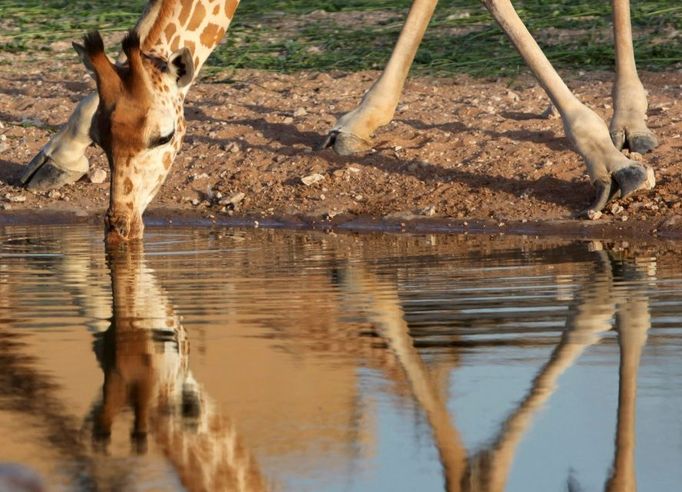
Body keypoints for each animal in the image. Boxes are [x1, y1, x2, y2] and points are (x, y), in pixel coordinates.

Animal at [21, 0, 656, 240]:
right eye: (103, 139)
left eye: (166, 135)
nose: (118, 224)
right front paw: (56, 154)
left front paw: (611, 167)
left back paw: (630, 122)